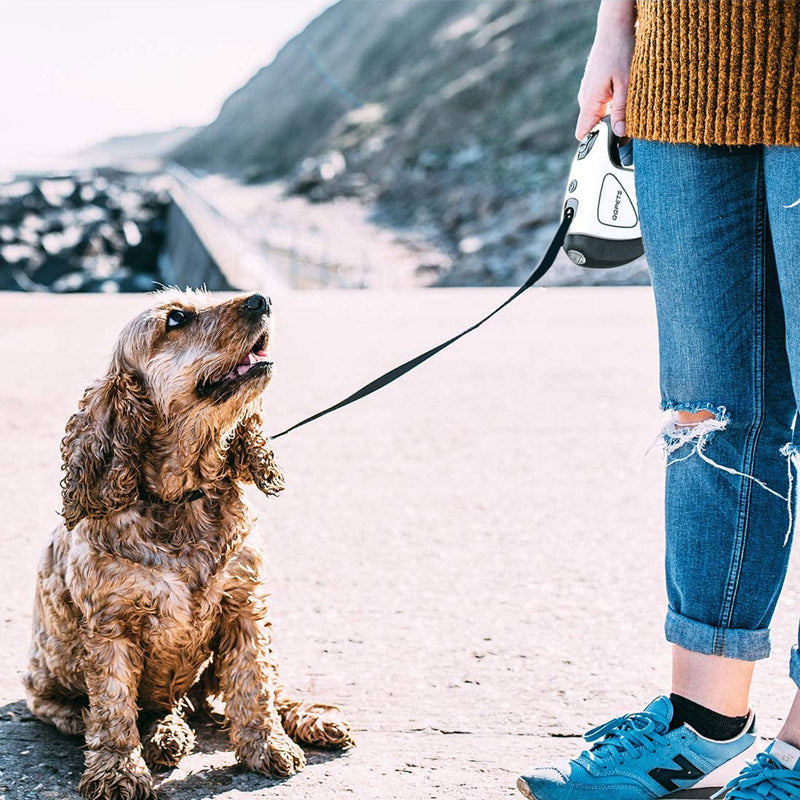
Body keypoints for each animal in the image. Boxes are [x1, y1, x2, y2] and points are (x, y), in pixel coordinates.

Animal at [24, 292, 354, 800]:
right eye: (176, 318)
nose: (262, 300)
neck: (183, 497)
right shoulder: (110, 625)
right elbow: (113, 704)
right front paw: (118, 771)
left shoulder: (245, 605)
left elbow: (255, 681)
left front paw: (267, 745)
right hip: (46, 687)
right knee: (100, 712)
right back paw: (163, 735)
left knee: (263, 685)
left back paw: (311, 718)